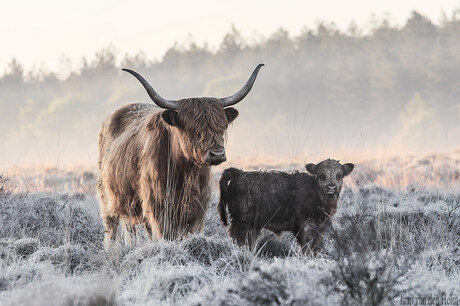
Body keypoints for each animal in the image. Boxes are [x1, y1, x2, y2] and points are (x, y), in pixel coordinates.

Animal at [97, 64, 262, 246]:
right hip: (107, 197)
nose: (217, 154)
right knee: (112, 227)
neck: (185, 171)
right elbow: (165, 233)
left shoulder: (197, 207)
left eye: (221, 126)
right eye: (192, 129)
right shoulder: (158, 205)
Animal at [217, 160, 354, 256]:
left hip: (254, 225)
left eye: (339, 175)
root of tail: (240, 173)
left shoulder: (321, 227)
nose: (331, 187)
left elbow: (317, 248)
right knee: (238, 238)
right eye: (321, 175)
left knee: (249, 241)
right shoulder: (304, 226)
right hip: (242, 221)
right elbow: (306, 247)